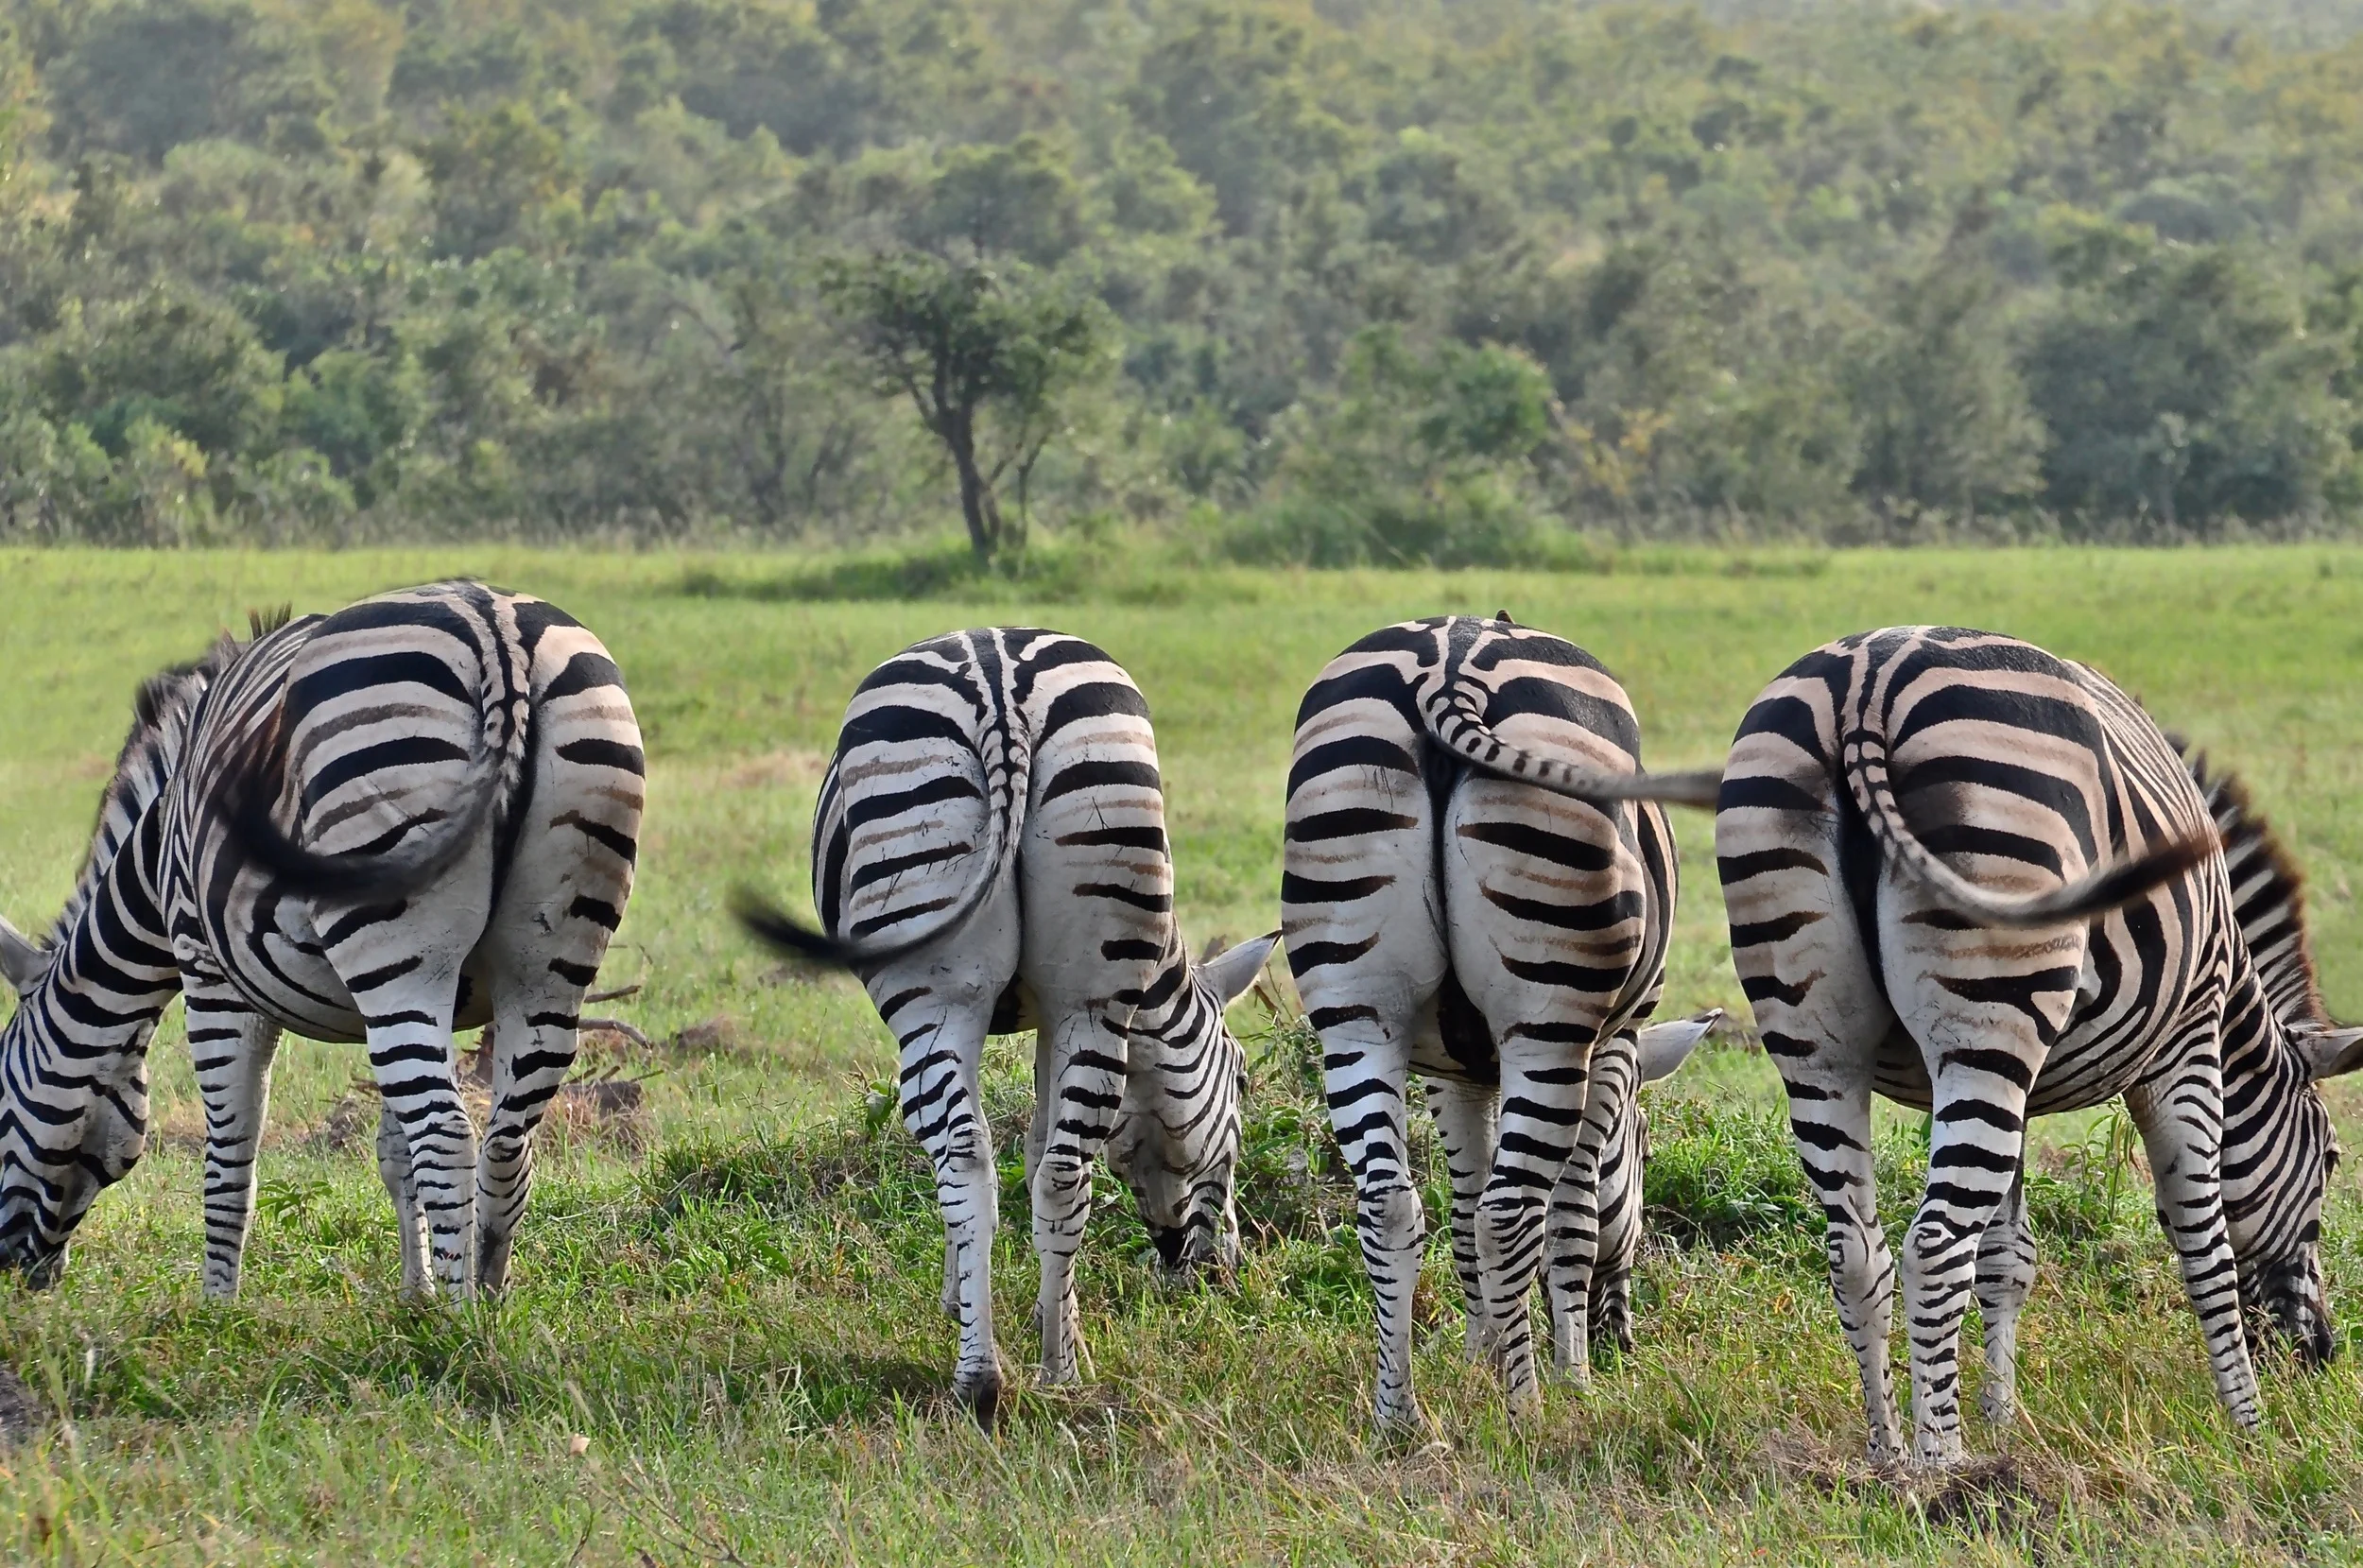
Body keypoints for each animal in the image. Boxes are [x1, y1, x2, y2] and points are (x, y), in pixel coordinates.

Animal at [0, 582, 643, 1300]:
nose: (20, 1274)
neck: (154, 856)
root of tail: (495, 630)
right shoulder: (433, 1003)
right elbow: (395, 1153)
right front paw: (414, 1294)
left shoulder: (210, 974)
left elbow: (230, 1159)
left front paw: (216, 1310)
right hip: (542, 961)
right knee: (506, 1143)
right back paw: (492, 1303)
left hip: (391, 931)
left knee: (448, 1137)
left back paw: (462, 1322)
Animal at [733, 626, 1276, 1427]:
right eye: (1241, 1079)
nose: (1222, 1269)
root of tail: (999, 679)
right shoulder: (1064, 1011)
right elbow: (1040, 1146)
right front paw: (1053, 1327)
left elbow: (999, 1144)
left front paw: (969, 1299)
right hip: (1085, 971)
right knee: (1055, 1168)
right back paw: (1053, 1374)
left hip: (935, 988)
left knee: (965, 1157)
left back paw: (981, 1374)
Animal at [1280, 614, 1719, 1429]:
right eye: (1643, 1149)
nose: (1623, 1343)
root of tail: (1451, 663)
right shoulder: (1614, 1045)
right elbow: (1570, 1216)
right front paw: (1570, 1376)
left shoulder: (1454, 1074)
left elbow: (1461, 1208)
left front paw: (1478, 1354)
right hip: (1551, 1013)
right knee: (1512, 1211)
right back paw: (1529, 1415)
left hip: (1355, 1007)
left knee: (1391, 1204)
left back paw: (1399, 1417)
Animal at [1715, 625, 2363, 1467]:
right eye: (2332, 1160)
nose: (2322, 1353)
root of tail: (1867, 681)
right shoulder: (2186, 1043)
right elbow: (2206, 1241)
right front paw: (2249, 1428)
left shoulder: (2011, 1087)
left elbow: (2008, 1256)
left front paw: (2001, 1413)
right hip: (1993, 988)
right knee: (1935, 1246)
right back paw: (1943, 1463)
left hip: (1821, 1039)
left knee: (1856, 1248)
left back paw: (1888, 1455)